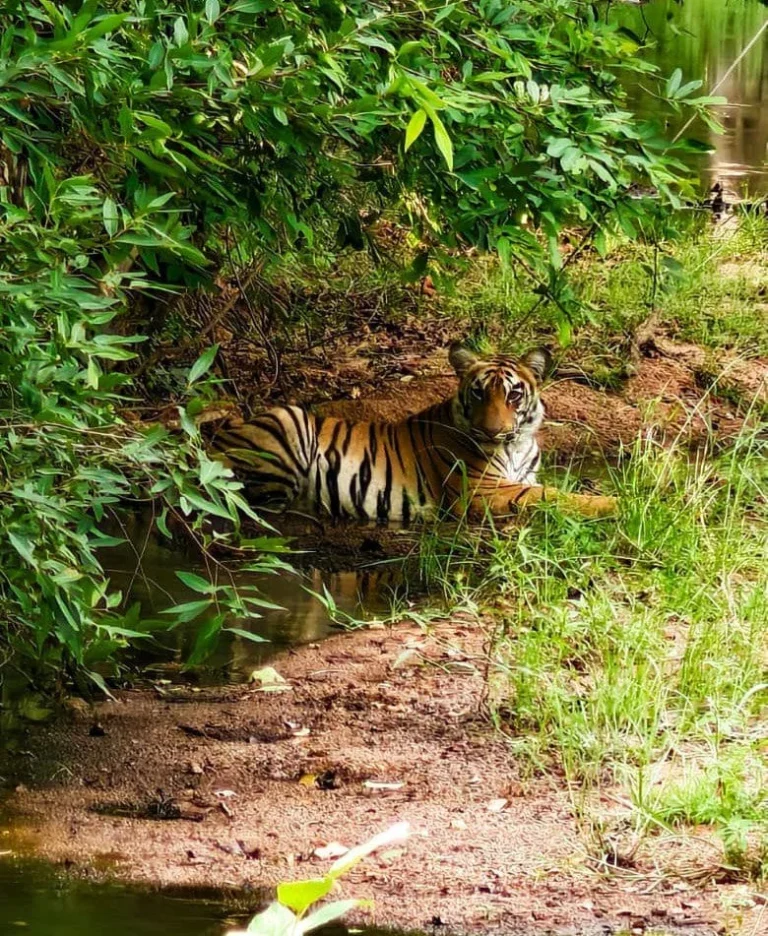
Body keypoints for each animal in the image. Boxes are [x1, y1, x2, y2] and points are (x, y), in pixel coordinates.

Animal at [210, 343, 616, 523]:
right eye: (478, 392)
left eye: (513, 395)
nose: (491, 431)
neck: (517, 444)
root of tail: (213, 443)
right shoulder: (481, 491)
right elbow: (552, 495)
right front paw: (613, 503)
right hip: (288, 420)